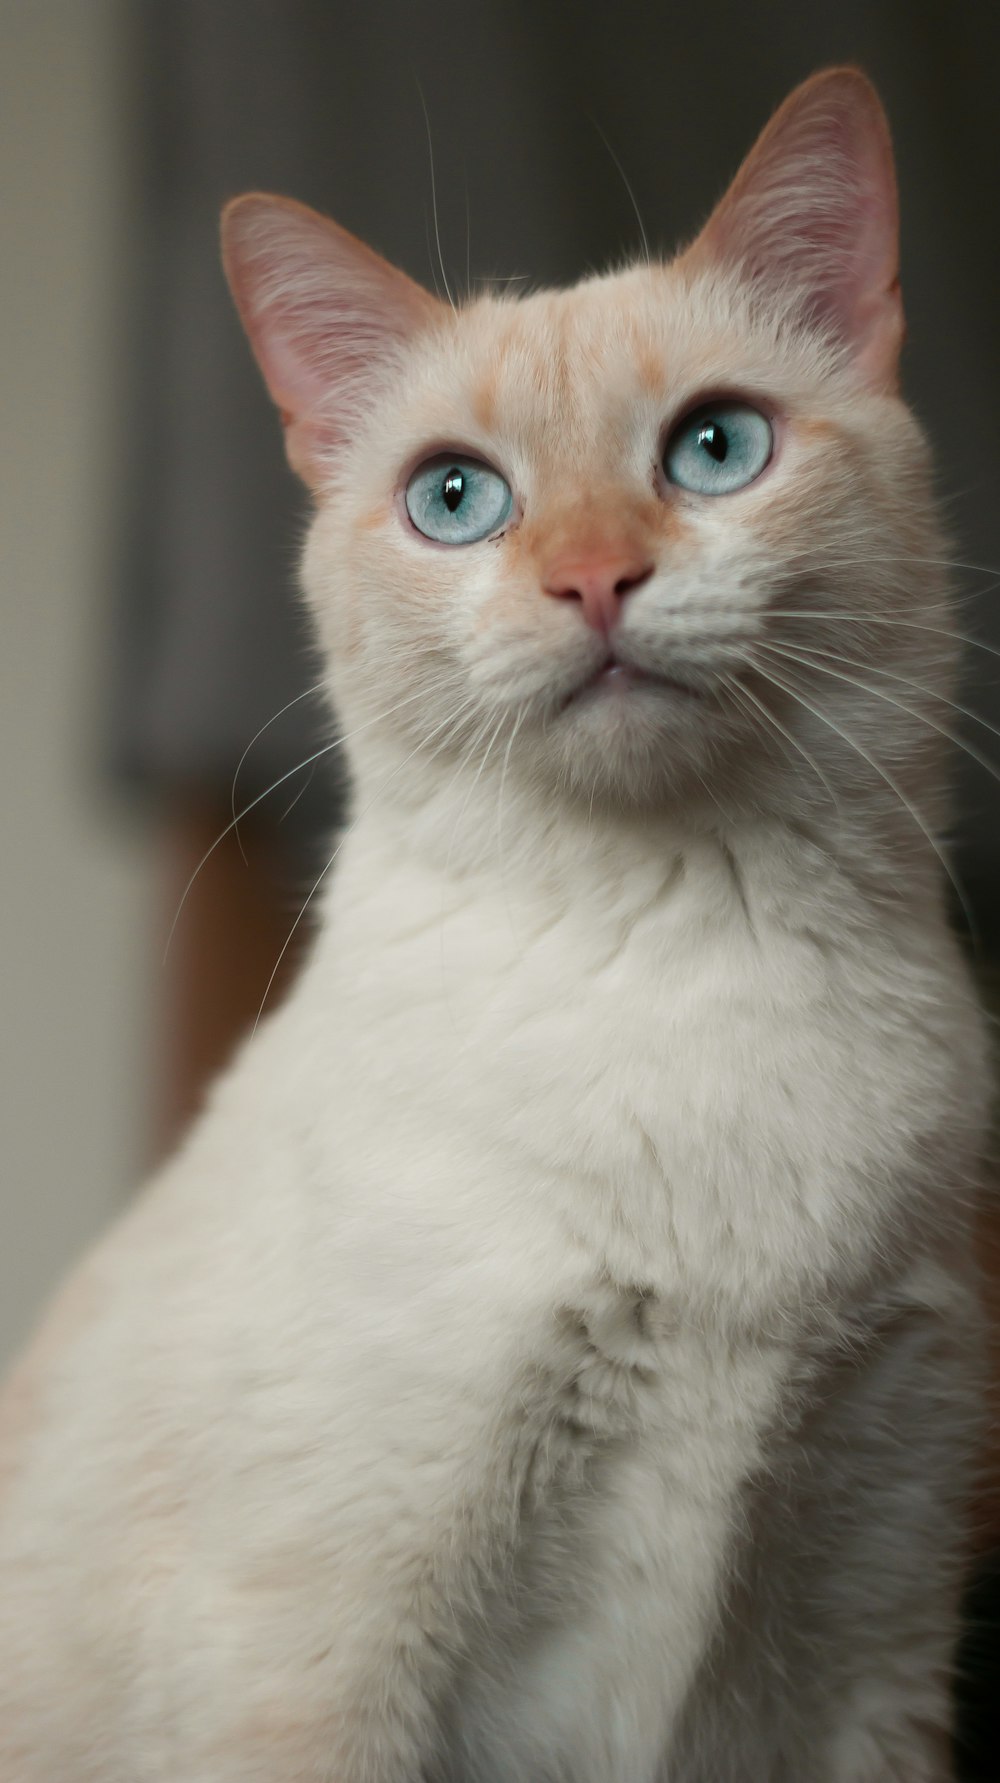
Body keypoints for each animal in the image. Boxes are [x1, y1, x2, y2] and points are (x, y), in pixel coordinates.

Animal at [0, 62, 983, 1775]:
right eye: (458, 499)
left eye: (715, 448)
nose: (594, 579)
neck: (685, 963)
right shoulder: (320, 1658)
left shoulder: (873, 1645)